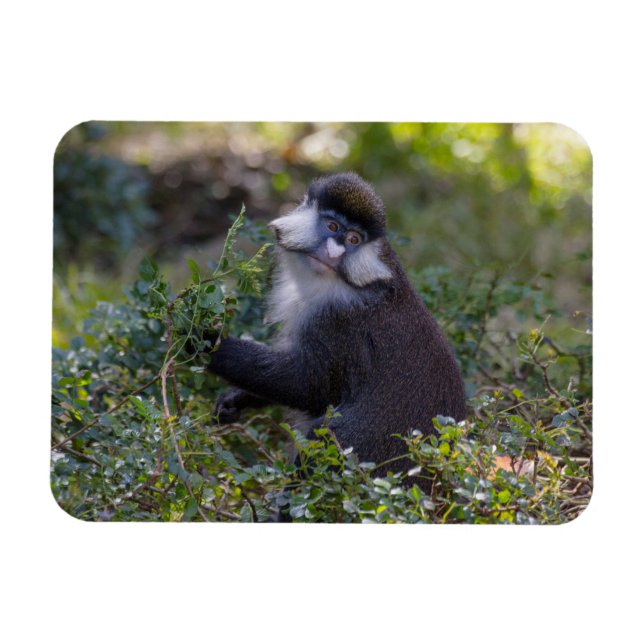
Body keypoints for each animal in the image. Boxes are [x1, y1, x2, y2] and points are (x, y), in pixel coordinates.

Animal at [203, 172, 467, 488]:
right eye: (332, 226)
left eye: (353, 239)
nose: (333, 251)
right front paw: (235, 398)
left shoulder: (338, 323)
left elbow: (308, 385)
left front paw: (204, 341)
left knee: (329, 431)